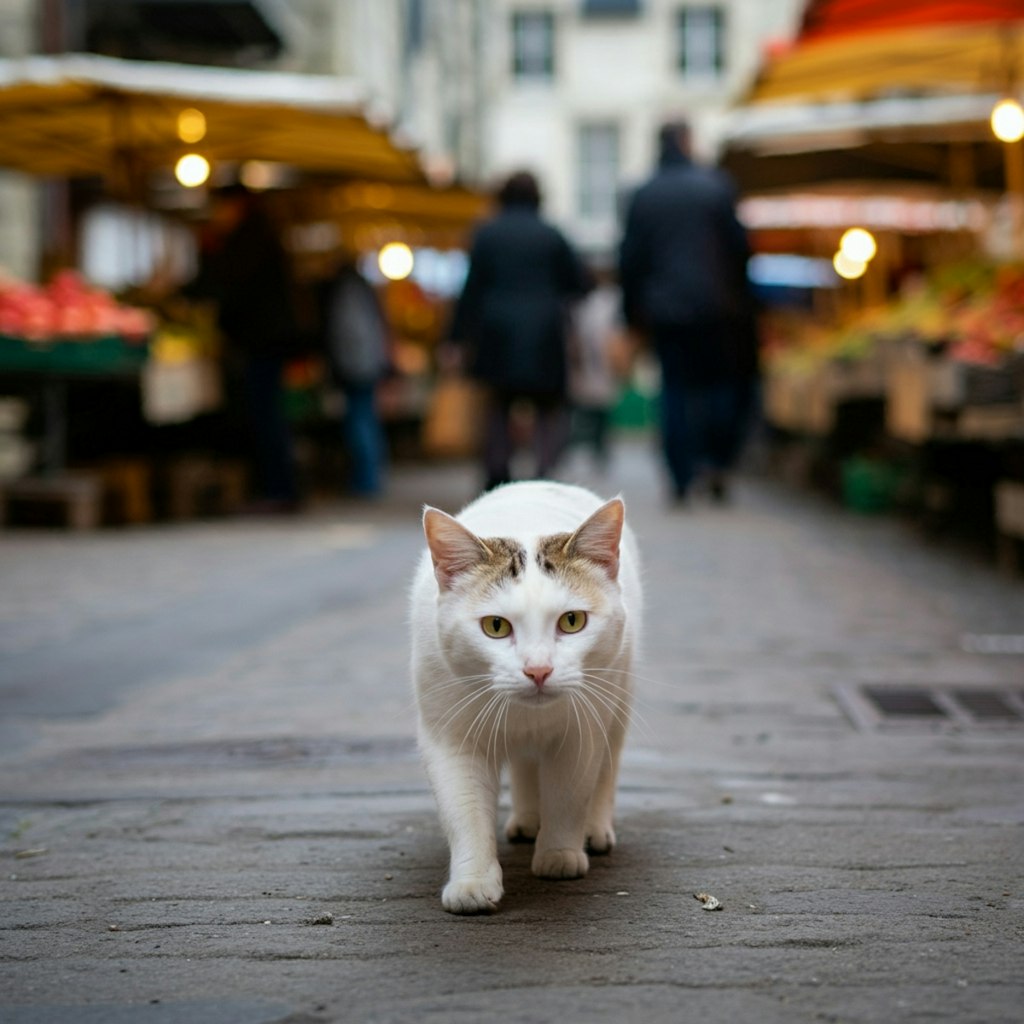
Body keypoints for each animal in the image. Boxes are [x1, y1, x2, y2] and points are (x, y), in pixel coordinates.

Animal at [409, 479, 638, 913]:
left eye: (572, 621)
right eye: (495, 626)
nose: (538, 670)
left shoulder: (581, 733)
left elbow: (569, 794)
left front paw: (559, 855)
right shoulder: (451, 737)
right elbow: (464, 810)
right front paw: (473, 881)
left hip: (617, 695)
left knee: (609, 766)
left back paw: (595, 829)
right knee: (525, 766)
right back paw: (528, 819)